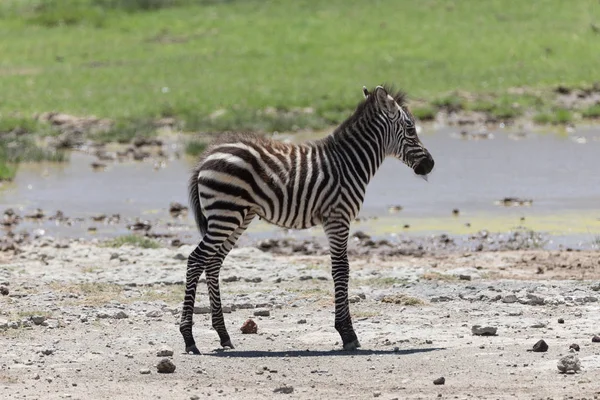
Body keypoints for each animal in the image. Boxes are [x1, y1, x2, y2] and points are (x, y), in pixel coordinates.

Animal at [180, 85, 434, 354]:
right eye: (410, 128)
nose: (430, 164)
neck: (349, 163)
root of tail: (207, 155)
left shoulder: (335, 219)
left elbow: (339, 269)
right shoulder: (338, 217)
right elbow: (341, 269)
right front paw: (347, 334)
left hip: (237, 216)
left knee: (213, 263)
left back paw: (223, 335)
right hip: (225, 214)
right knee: (196, 260)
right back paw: (189, 339)